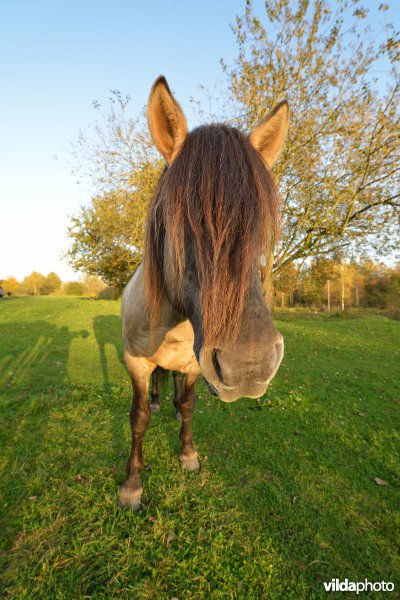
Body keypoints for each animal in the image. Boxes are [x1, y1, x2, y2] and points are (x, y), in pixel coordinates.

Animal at [118, 72, 288, 508]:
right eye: (177, 219)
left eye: (260, 225)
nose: (250, 364)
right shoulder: (135, 364)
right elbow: (138, 417)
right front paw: (132, 484)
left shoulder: (196, 368)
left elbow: (190, 405)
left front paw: (188, 454)